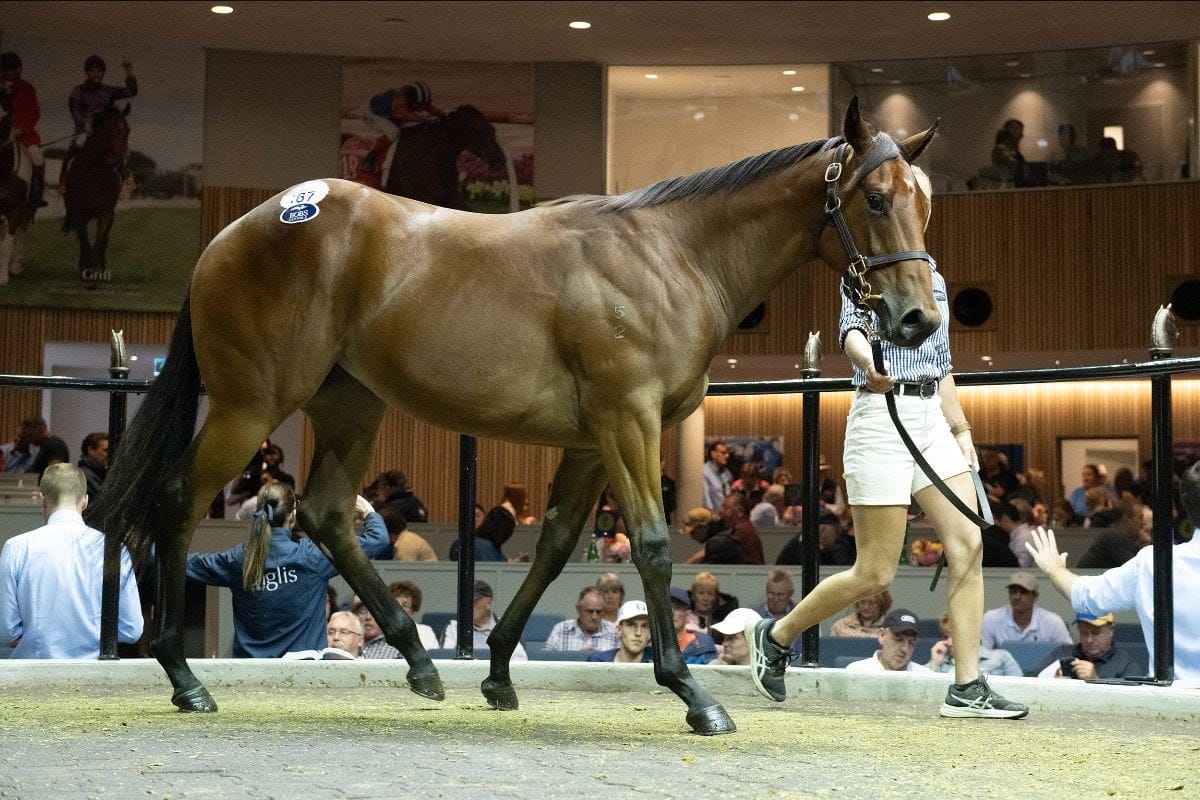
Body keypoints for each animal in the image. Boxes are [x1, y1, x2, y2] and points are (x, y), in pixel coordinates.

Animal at [62, 104, 130, 281]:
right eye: (109, 130)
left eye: (127, 130)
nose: (116, 162)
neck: (96, 174)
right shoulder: (80, 214)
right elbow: (85, 243)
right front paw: (86, 271)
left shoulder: (106, 213)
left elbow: (99, 242)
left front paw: (95, 273)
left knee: (103, 240)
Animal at [88, 97, 940, 734]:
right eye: (873, 198)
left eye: (925, 204)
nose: (918, 320)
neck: (670, 256)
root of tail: (233, 234)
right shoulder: (628, 423)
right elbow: (653, 547)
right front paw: (692, 695)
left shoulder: (594, 440)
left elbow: (557, 545)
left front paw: (496, 668)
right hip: (250, 405)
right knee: (179, 500)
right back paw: (184, 676)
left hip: (351, 405)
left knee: (327, 514)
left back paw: (420, 664)